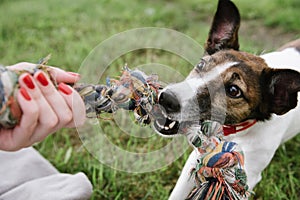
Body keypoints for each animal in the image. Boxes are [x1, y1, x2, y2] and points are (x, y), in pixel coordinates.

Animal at [151, 0, 300, 198]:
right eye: (201, 64)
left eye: (233, 90)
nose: (166, 98)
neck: (235, 132)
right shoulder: (197, 157)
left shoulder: (247, 177)